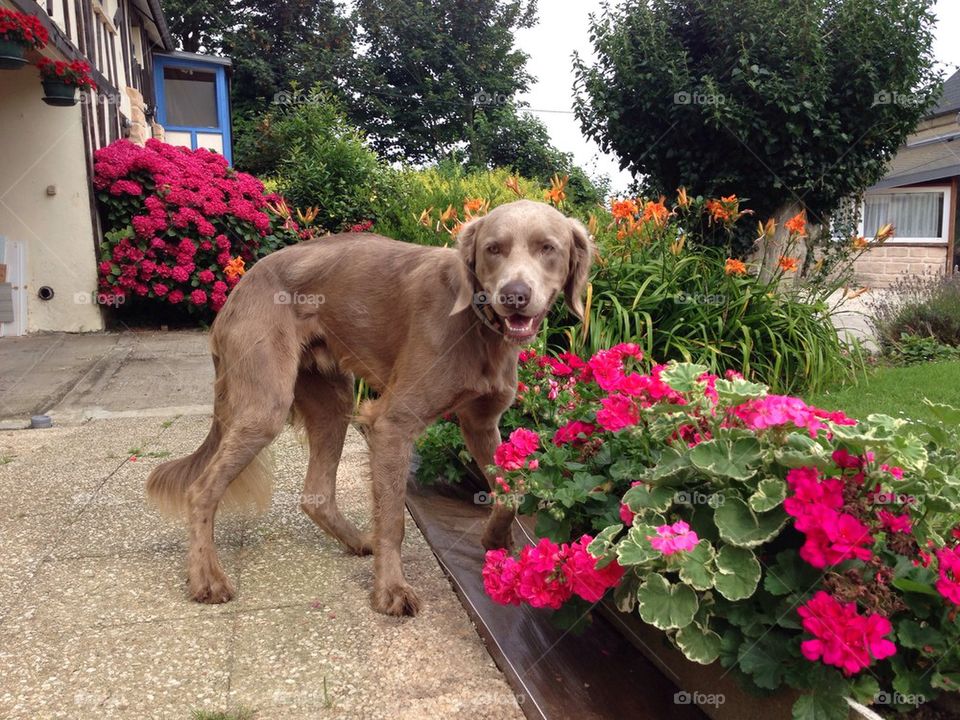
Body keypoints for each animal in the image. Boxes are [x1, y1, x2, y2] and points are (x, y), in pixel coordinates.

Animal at [145, 200, 592, 616]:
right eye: (493, 249)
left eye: (548, 248)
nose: (514, 296)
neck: (479, 328)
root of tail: (238, 289)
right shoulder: (392, 424)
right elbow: (393, 519)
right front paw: (390, 590)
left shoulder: (481, 423)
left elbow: (513, 491)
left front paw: (495, 540)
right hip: (265, 406)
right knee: (202, 489)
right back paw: (206, 577)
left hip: (334, 400)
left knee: (316, 495)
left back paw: (360, 541)